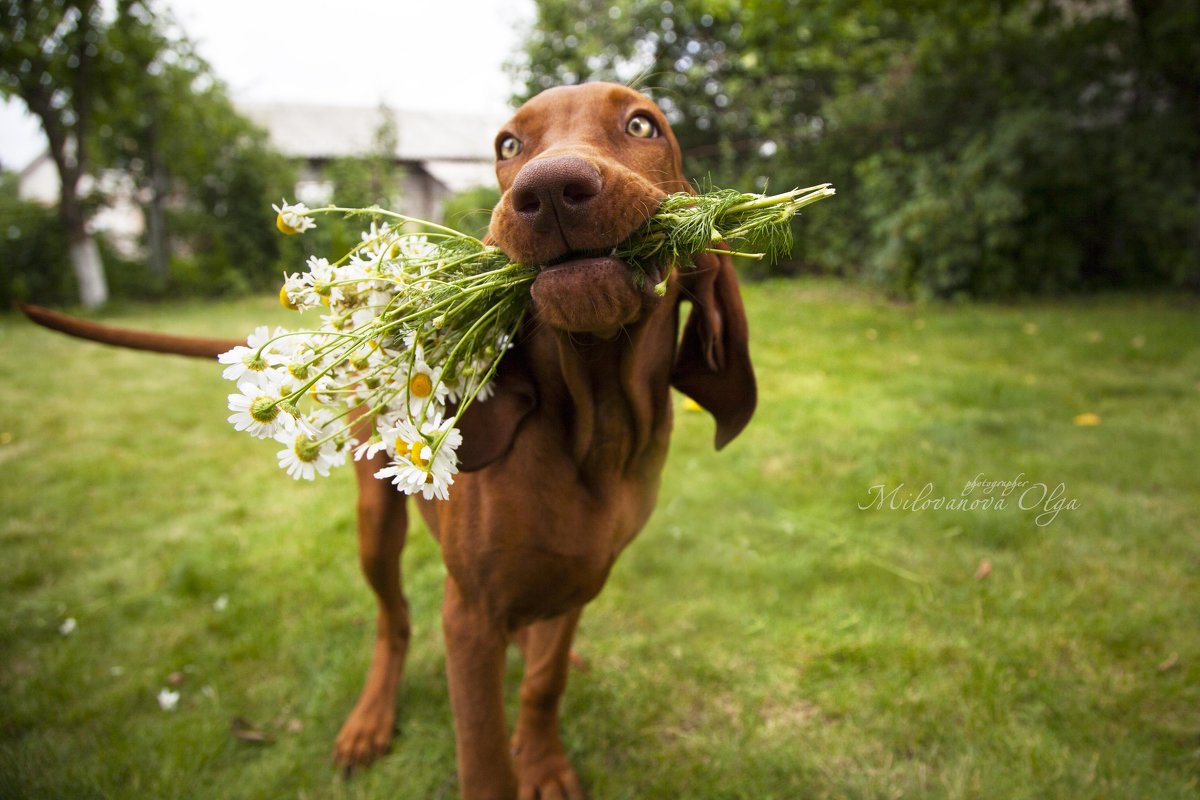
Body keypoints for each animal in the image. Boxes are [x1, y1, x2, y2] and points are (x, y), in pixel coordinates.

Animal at [23, 82, 753, 800]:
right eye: (507, 146)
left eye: (642, 124)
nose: (548, 190)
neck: (594, 433)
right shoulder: (469, 618)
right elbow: (483, 759)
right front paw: (516, 759)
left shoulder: (582, 577)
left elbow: (545, 683)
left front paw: (543, 762)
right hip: (375, 524)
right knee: (392, 619)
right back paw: (370, 720)